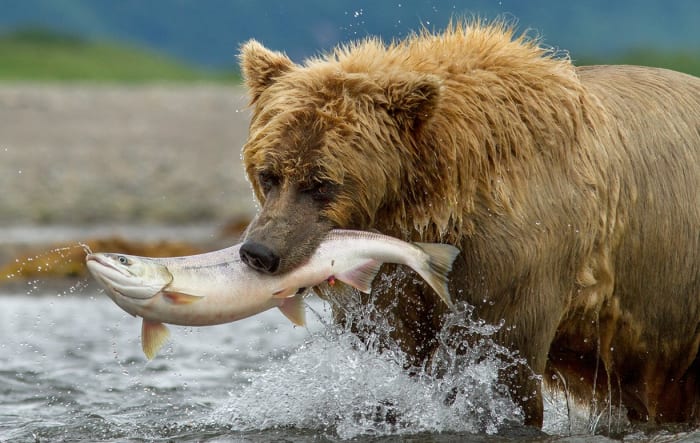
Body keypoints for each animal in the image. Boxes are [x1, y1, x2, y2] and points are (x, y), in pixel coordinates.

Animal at [236, 21, 700, 428]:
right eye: (268, 174)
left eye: (321, 184)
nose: (260, 251)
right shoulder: (394, 283)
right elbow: (390, 352)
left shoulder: (522, 256)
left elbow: (502, 364)